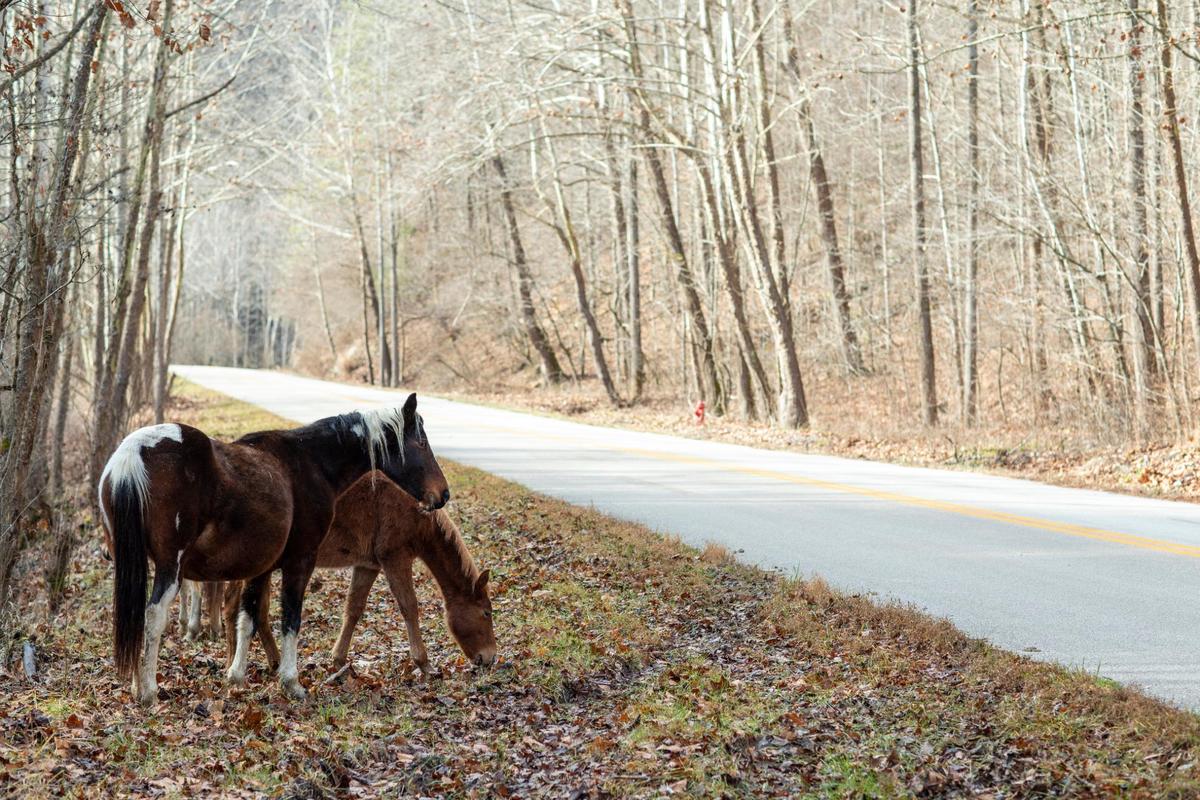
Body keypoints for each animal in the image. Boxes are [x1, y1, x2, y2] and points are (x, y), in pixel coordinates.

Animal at [97, 393, 448, 705]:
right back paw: (148, 690)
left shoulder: (261, 568)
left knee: (137, 616)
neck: (310, 462)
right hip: (171, 568)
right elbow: (290, 619)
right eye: (421, 442)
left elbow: (248, 617)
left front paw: (236, 676)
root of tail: (133, 452)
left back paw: (136, 684)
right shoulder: (300, 562)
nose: (443, 494)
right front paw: (291, 682)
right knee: (153, 615)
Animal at [220, 472, 496, 676]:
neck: (418, 513)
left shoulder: (368, 565)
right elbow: (409, 607)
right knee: (235, 606)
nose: (490, 657)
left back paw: (273, 662)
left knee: (256, 610)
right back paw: (234, 662)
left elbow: (354, 608)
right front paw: (424, 663)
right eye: (486, 612)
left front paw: (339, 660)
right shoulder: (394, 558)